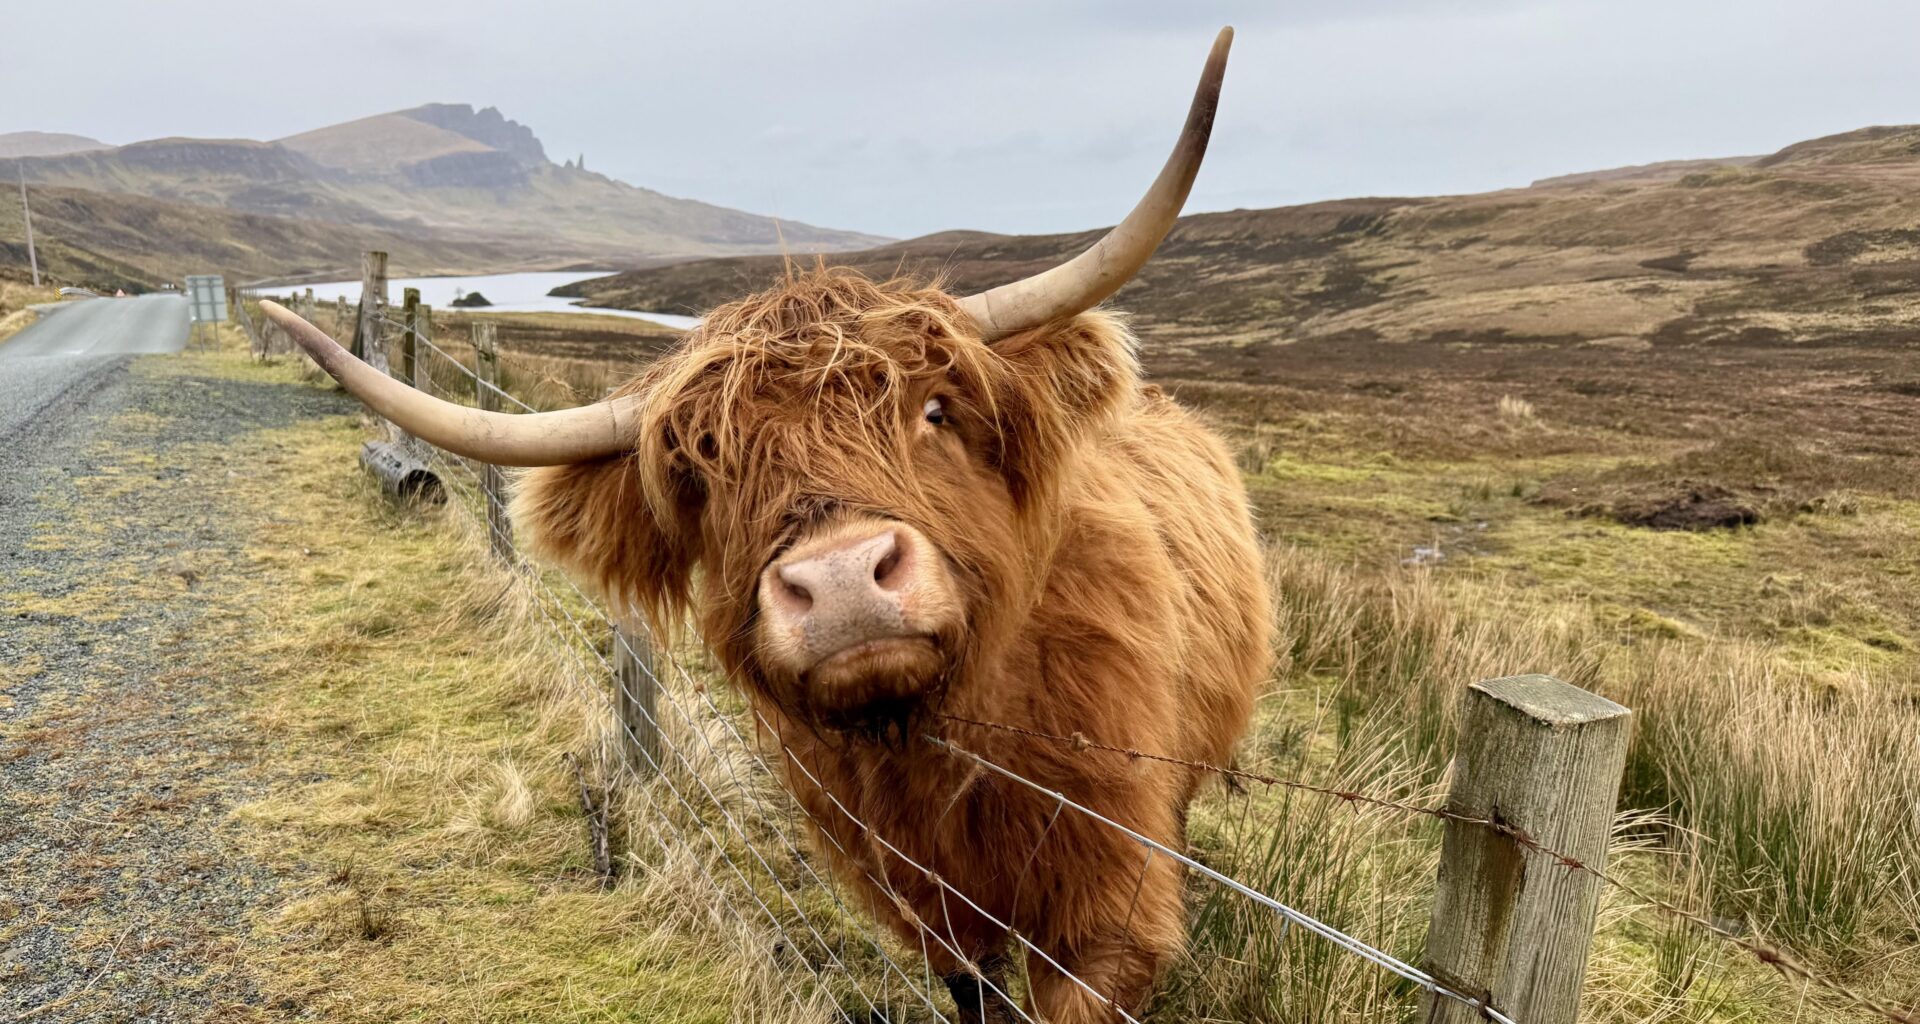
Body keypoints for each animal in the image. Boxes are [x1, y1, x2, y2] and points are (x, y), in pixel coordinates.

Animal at [262, 28, 1269, 1023]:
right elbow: (972, 991)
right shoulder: (923, 903)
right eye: (702, 477)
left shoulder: (1106, 913)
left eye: (936, 410)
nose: (842, 582)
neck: (949, 750)